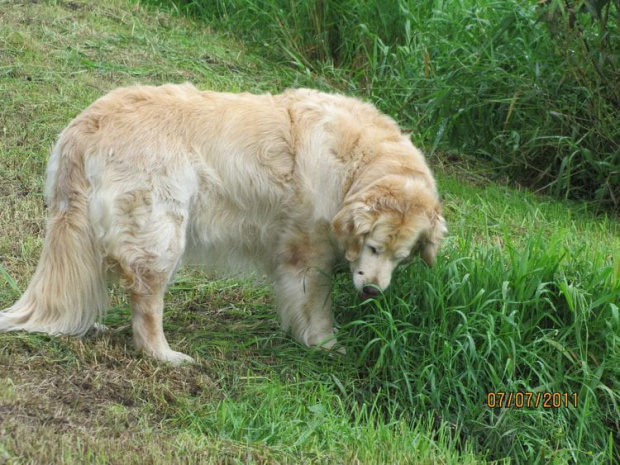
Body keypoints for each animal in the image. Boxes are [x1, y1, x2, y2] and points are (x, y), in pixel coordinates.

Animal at [0, 85, 446, 364]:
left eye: (401, 257)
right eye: (372, 247)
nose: (372, 291)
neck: (360, 163)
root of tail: (88, 123)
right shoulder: (309, 251)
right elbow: (317, 305)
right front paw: (326, 346)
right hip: (162, 233)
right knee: (145, 300)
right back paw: (165, 355)